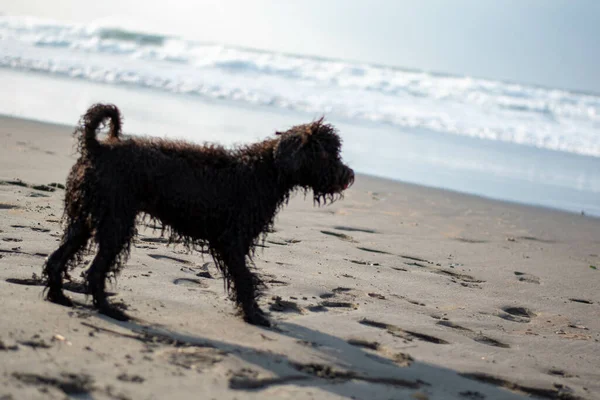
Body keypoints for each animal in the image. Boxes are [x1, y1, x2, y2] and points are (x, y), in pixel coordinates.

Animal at [44, 104, 354, 326]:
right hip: (115, 222)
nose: (349, 175)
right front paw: (254, 316)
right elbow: (245, 279)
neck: (265, 171)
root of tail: (96, 147)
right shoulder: (232, 241)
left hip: (85, 219)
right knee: (95, 270)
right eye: (326, 153)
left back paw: (59, 297)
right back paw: (109, 309)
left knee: (58, 259)